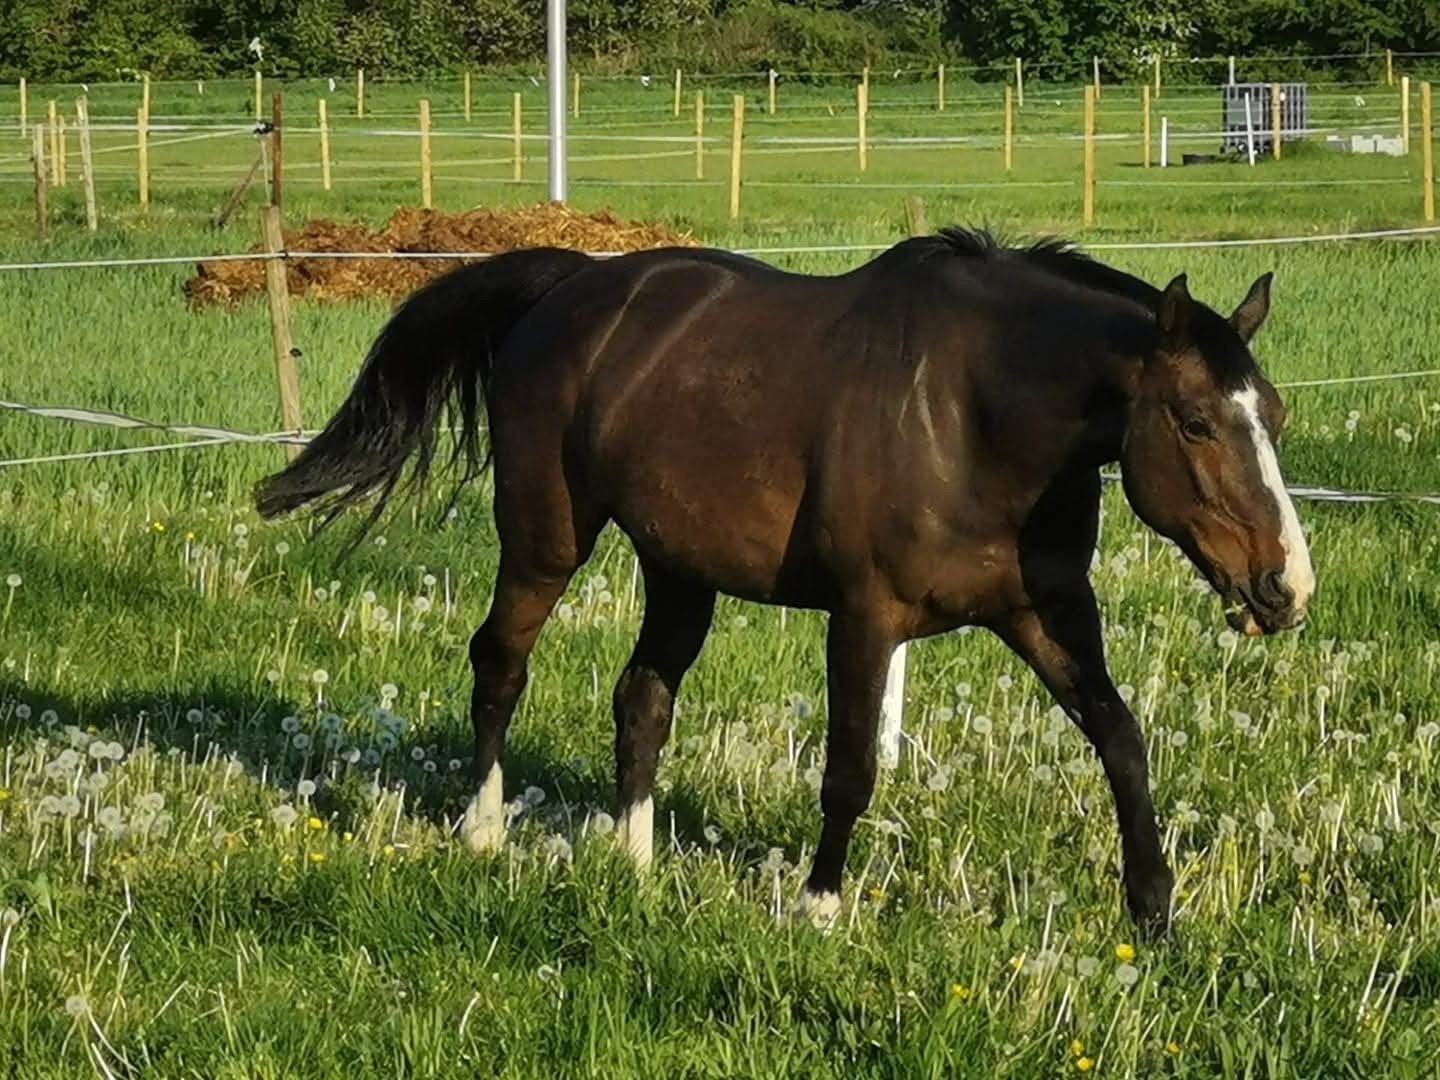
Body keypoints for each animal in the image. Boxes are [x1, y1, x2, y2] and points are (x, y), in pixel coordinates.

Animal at [256, 229, 1314, 936]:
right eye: (1194, 422)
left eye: (1274, 414)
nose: (1285, 588)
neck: (972, 416)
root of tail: (575, 284)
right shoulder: (865, 616)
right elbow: (850, 766)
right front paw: (818, 905)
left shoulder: (1047, 612)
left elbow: (1122, 740)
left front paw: (1154, 912)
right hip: (545, 541)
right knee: (500, 665)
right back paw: (482, 830)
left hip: (678, 570)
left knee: (642, 697)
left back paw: (633, 860)